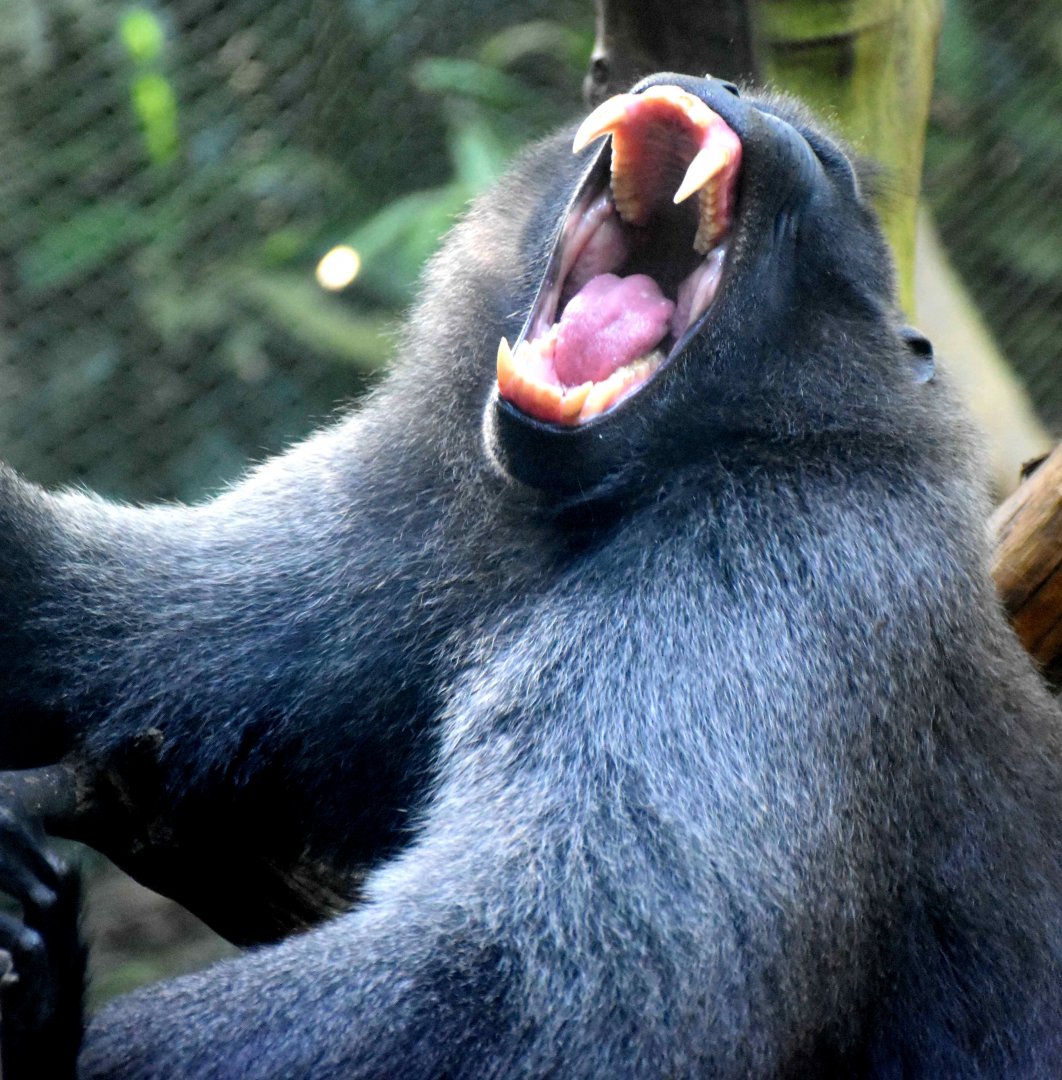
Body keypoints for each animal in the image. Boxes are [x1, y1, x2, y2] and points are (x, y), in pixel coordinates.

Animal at [0, 73, 1060, 1077]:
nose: (717, 85)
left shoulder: (797, 561)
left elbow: (569, 985)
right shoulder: (415, 519)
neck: (587, 514)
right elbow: (116, 636)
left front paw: (41, 1013)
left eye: (828, 164)